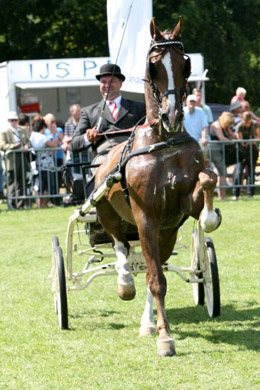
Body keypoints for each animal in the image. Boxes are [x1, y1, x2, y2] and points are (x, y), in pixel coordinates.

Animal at [94, 17, 220, 356]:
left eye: (185, 64)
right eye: (153, 66)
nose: (172, 114)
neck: (163, 141)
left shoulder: (178, 211)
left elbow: (208, 179)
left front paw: (210, 217)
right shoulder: (146, 218)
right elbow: (155, 279)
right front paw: (165, 338)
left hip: (167, 232)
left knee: (153, 266)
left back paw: (148, 322)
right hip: (109, 213)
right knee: (120, 246)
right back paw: (125, 283)